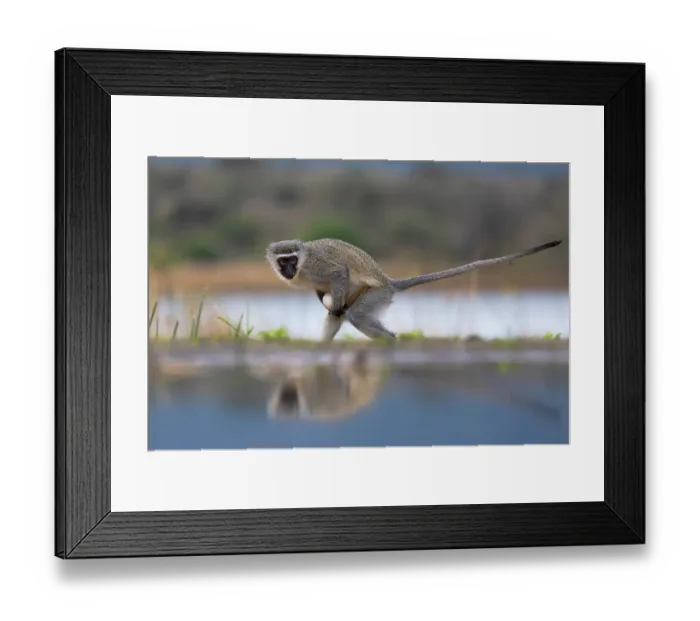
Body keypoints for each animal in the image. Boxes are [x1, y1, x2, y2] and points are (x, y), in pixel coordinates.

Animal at [266, 237, 562, 341]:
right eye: (283, 261)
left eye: (292, 259)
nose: (288, 270)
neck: (302, 266)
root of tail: (388, 281)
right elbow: (327, 300)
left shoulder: (317, 267)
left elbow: (340, 273)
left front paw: (333, 302)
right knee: (341, 316)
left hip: (377, 294)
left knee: (355, 315)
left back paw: (390, 342)